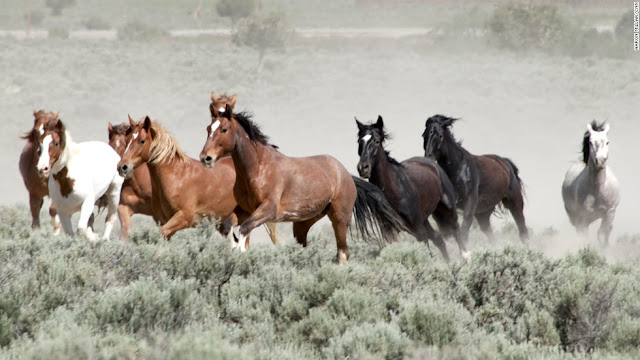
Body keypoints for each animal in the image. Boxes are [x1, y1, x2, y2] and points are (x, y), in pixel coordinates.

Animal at [117, 116, 278, 243]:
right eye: (127, 139)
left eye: (142, 141)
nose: (122, 167)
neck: (175, 176)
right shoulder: (162, 221)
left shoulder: (184, 218)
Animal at [200, 103, 404, 264]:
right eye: (208, 128)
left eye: (224, 129)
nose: (205, 158)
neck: (258, 167)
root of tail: (346, 174)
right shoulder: (245, 210)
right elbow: (228, 228)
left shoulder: (267, 210)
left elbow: (242, 231)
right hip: (303, 222)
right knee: (304, 248)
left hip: (339, 218)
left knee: (343, 253)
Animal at [352, 116, 468, 260]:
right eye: (359, 141)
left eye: (376, 141)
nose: (363, 168)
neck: (395, 189)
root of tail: (433, 164)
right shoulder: (390, 232)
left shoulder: (418, 229)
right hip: (425, 220)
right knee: (439, 239)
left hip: (447, 208)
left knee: (456, 230)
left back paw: (465, 256)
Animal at [422, 114, 528, 245]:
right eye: (424, 135)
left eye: (440, 136)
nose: (428, 157)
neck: (458, 170)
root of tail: (506, 163)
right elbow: (446, 232)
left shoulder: (470, 202)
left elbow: (463, 232)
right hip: (483, 213)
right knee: (491, 235)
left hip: (515, 202)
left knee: (522, 229)